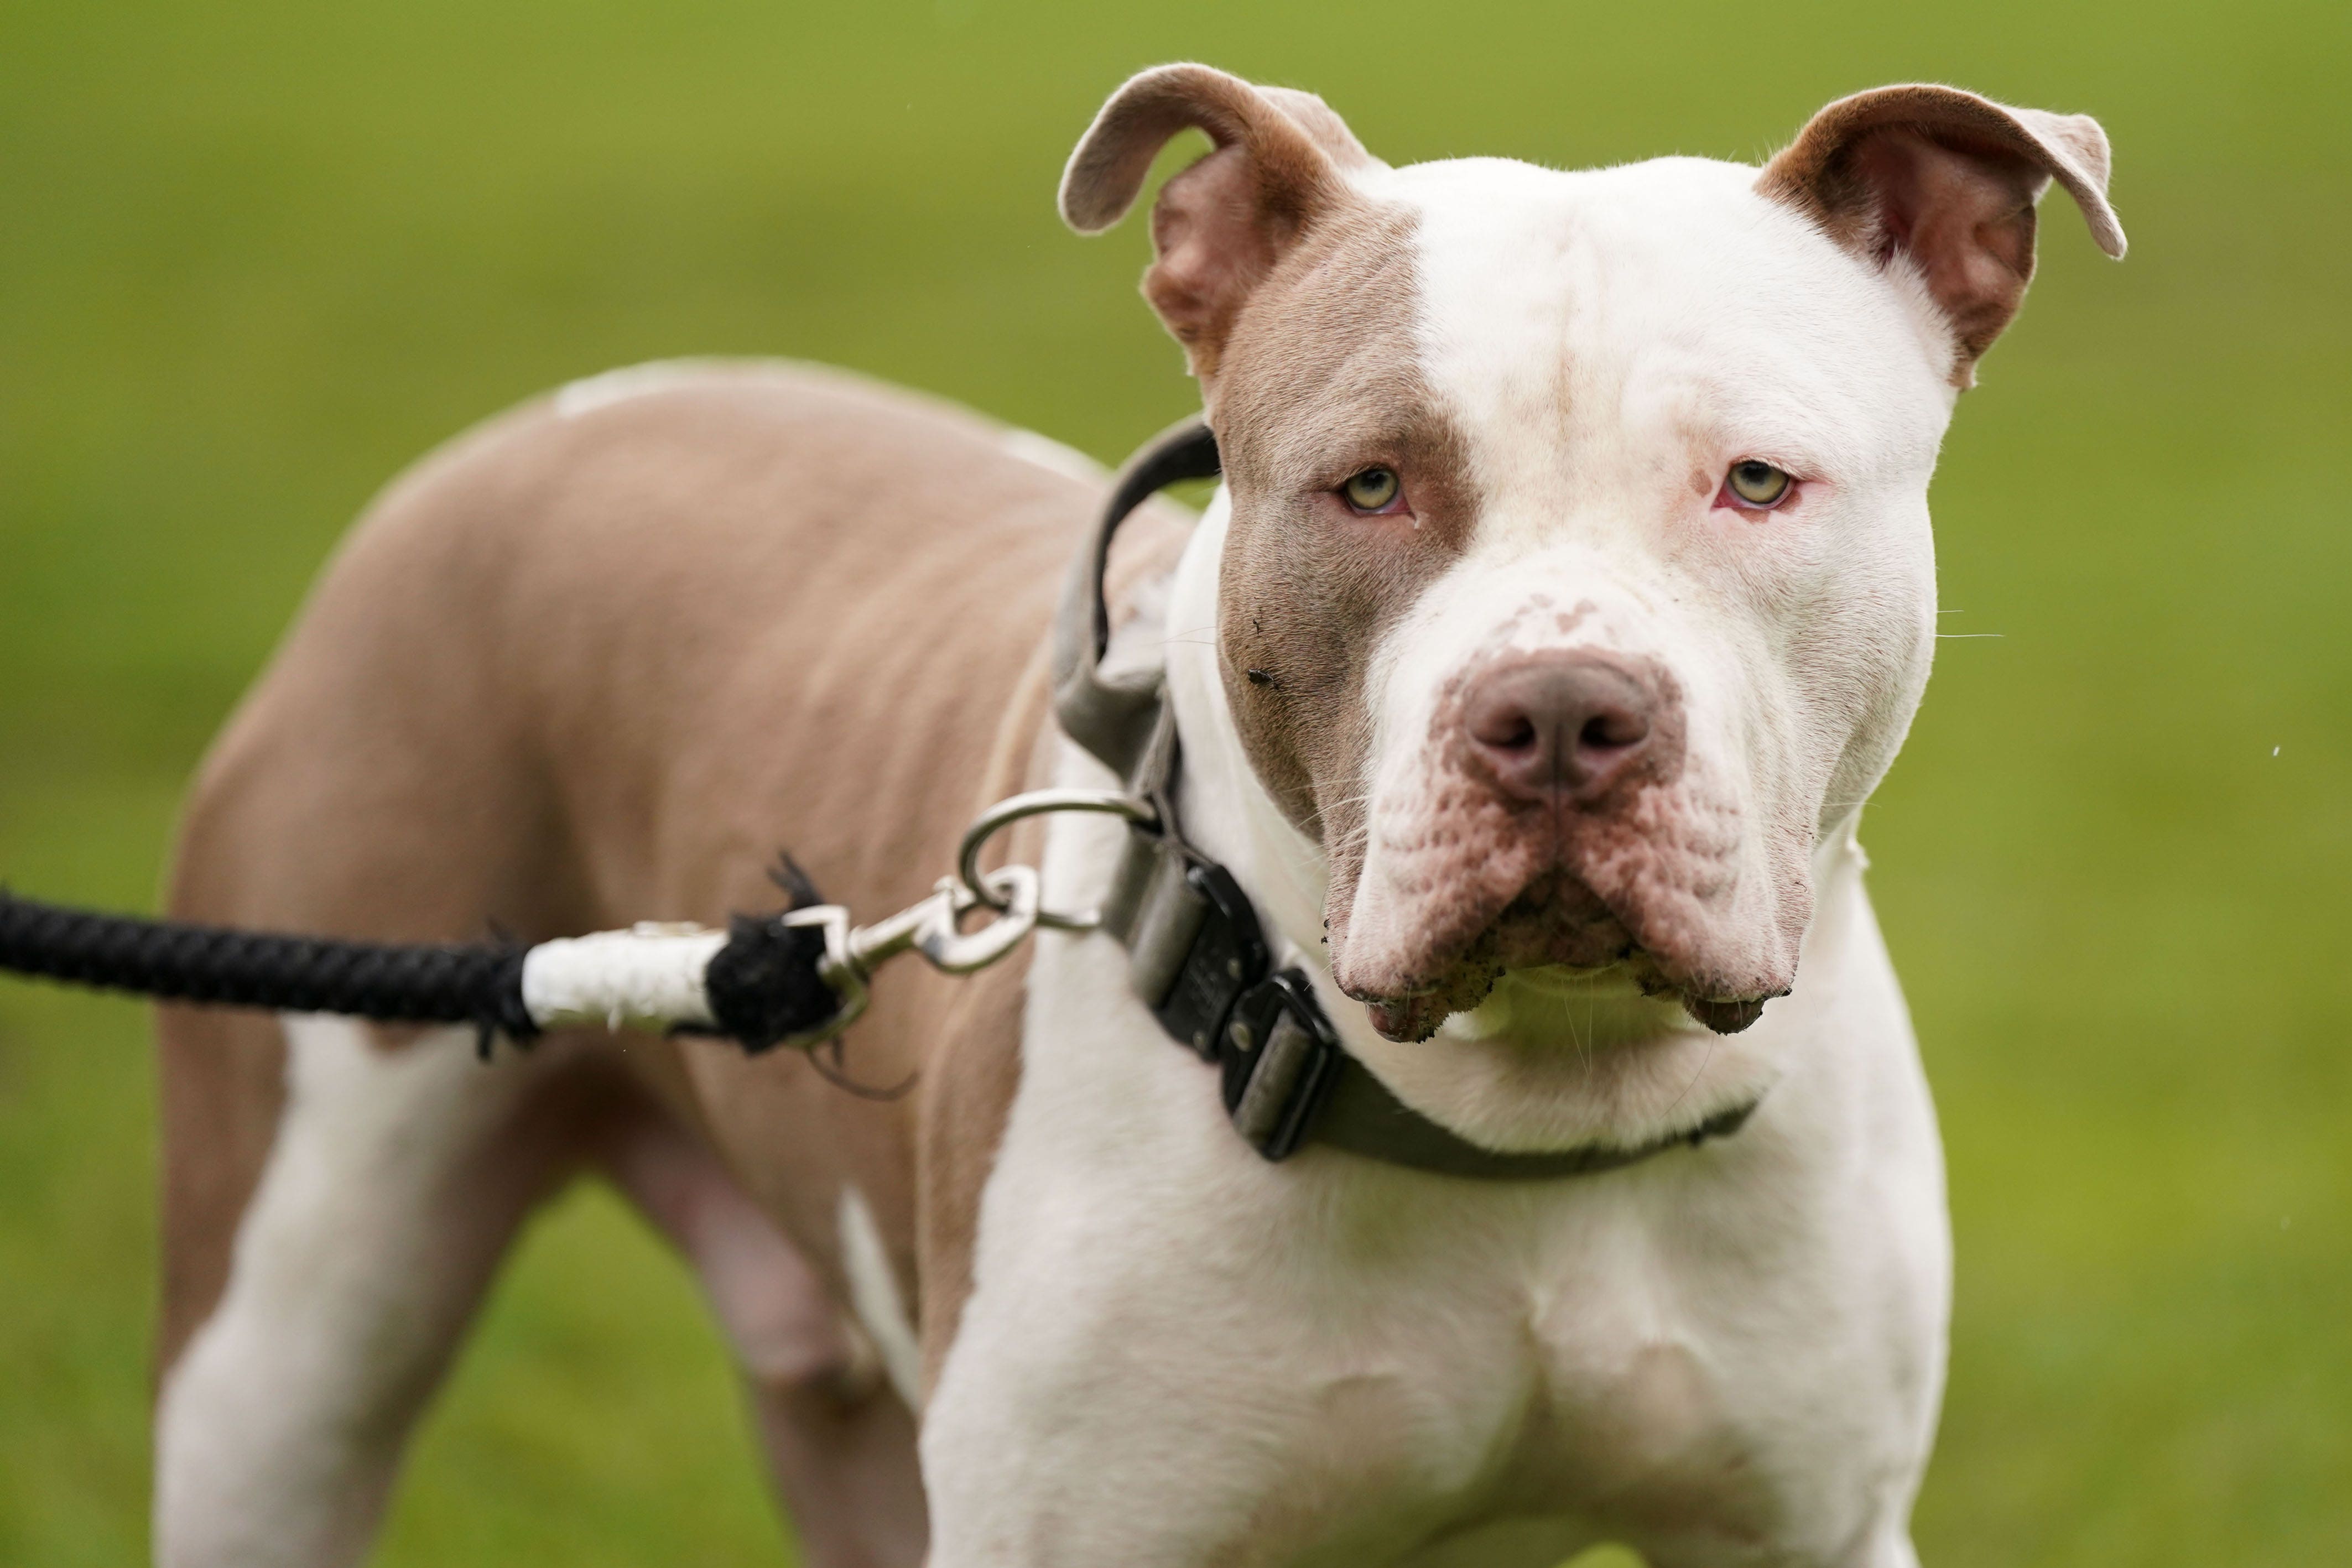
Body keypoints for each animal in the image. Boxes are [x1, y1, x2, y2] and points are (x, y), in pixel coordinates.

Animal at [156, 61, 2126, 1568]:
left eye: (1755, 483)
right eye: (1369, 486)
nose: (1562, 717)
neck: (1526, 1118)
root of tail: (528, 434)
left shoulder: (1810, 1522)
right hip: (283, 1339)